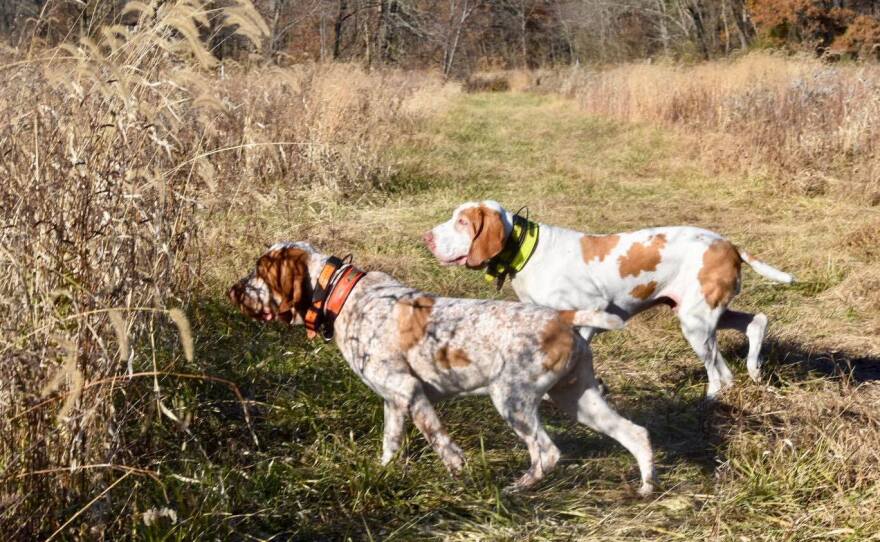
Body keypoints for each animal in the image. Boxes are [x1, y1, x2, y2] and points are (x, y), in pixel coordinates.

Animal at [227, 242, 652, 498]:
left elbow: (439, 442)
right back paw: (647, 487)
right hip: (577, 399)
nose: (232, 290)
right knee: (636, 434)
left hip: (512, 399)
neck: (344, 298)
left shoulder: (408, 392)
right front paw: (385, 473)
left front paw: (457, 472)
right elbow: (390, 445)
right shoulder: (394, 401)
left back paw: (516, 488)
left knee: (546, 452)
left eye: (258, 271)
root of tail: (563, 317)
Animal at [422, 202, 796, 398]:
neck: (529, 252)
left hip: (695, 324)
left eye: (462, 222)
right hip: (704, 313)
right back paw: (754, 369)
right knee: (755, 324)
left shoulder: (592, 312)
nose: (427, 237)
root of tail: (729, 244)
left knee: (719, 374)